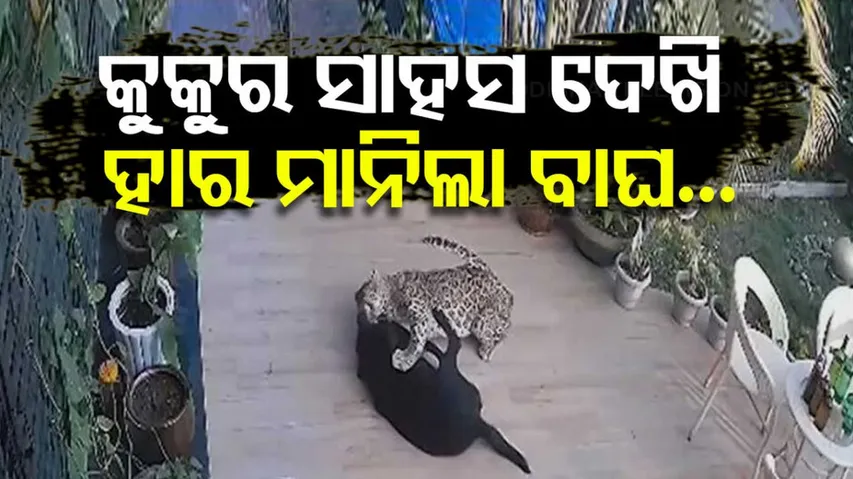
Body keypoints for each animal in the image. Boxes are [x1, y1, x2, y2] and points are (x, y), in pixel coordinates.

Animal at [354, 235, 514, 372]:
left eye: (367, 295)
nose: (362, 311)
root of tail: (490, 274)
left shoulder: (421, 316)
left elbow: (416, 342)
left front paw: (404, 359)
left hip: (482, 321)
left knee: (501, 332)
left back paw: (486, 350)